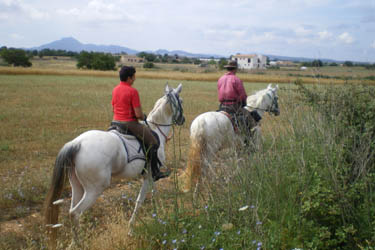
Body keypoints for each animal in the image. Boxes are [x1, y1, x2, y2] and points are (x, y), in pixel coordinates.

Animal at [44, 82, 185, 248]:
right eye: (181, 101)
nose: (183, 119)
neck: (156, 129)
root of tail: (76, 143)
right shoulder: (150, 176)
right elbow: (140, 201)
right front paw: (132, 228)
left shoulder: (150, 177)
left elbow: (153, 196)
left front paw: (159, 215)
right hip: (94, 189)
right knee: (75, 213)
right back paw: (79, 244)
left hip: (77, 186)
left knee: (71, 211)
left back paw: (73, 243)